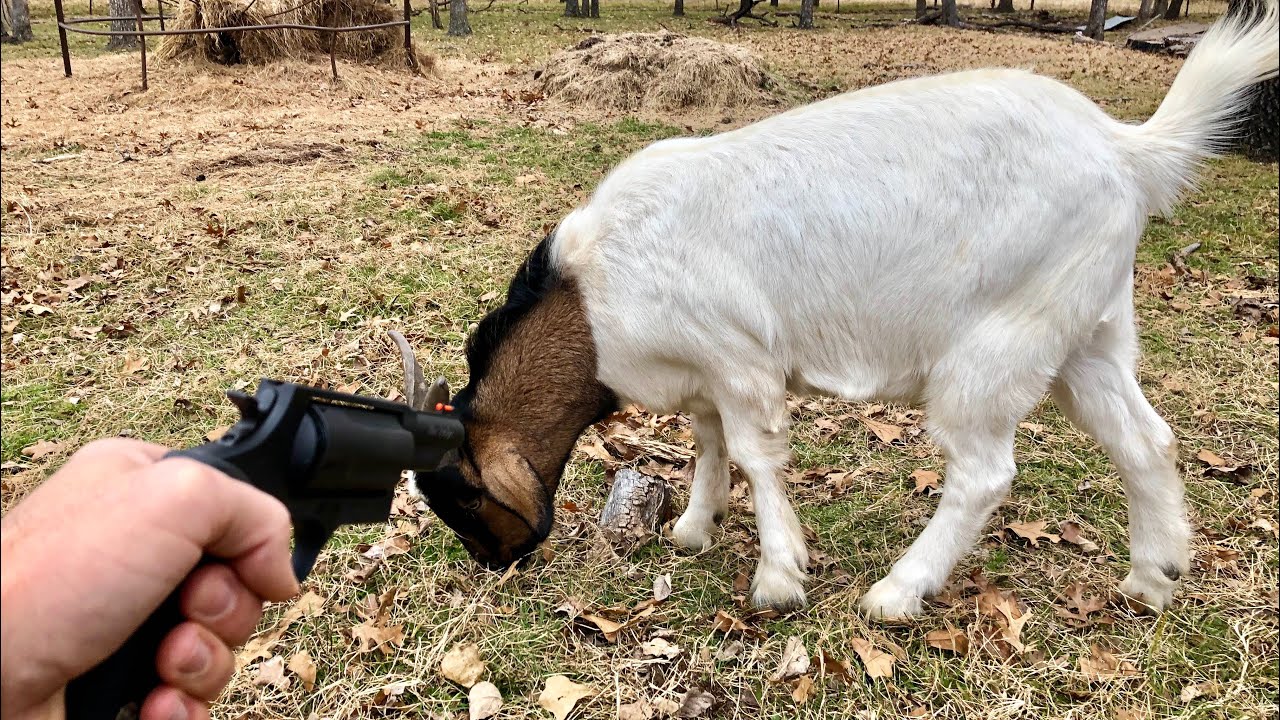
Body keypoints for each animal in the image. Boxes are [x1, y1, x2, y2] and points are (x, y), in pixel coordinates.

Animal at [413, 4, 1279, 616]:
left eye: (462, 496)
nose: (495, 564)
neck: (592, 293)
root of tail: (1125, 149)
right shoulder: (704, 376)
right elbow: (708, 441)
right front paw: (693, 529)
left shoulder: (741, 360)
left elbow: (755, 454)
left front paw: (777, 577)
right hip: (1087, 332)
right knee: (1145, 440)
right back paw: (1153, 580)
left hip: (999, 343)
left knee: (984, 472)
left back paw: (897, 593)